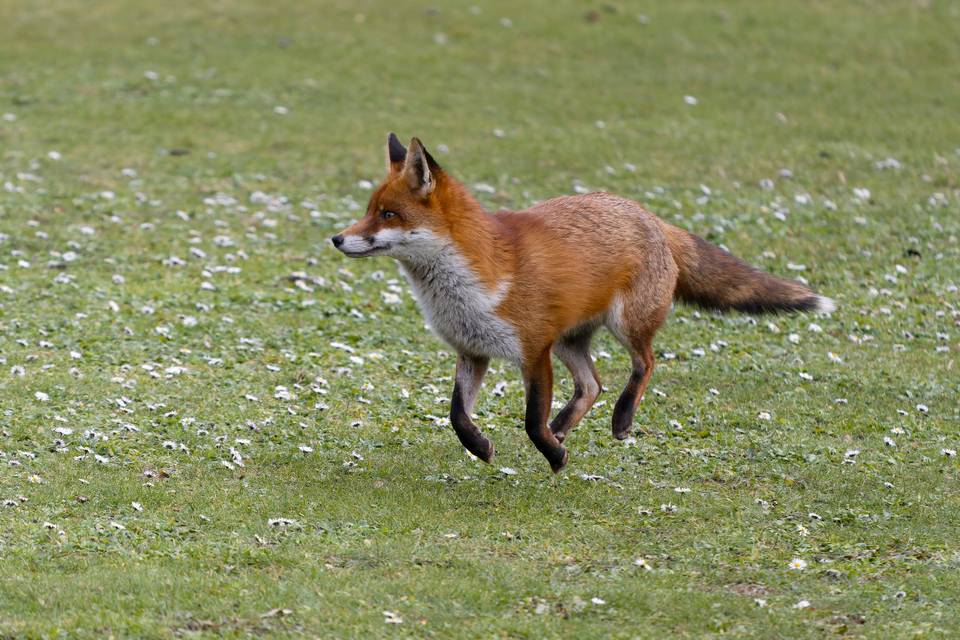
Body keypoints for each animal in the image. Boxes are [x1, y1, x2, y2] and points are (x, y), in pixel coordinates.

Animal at [332, 134, 835, 472]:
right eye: (368, 210)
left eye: (388, 214)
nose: (336, 238)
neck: (465, 285)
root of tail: (649, 215)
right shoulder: (473, 350)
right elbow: (457, 414)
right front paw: (481, 447)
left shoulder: (534, 350)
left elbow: (530, 421)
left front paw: (553, 456)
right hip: (570, 341)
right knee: (592, 384)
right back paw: (565, 424)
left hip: (625, 325)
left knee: (644, 364)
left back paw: (620, 419)